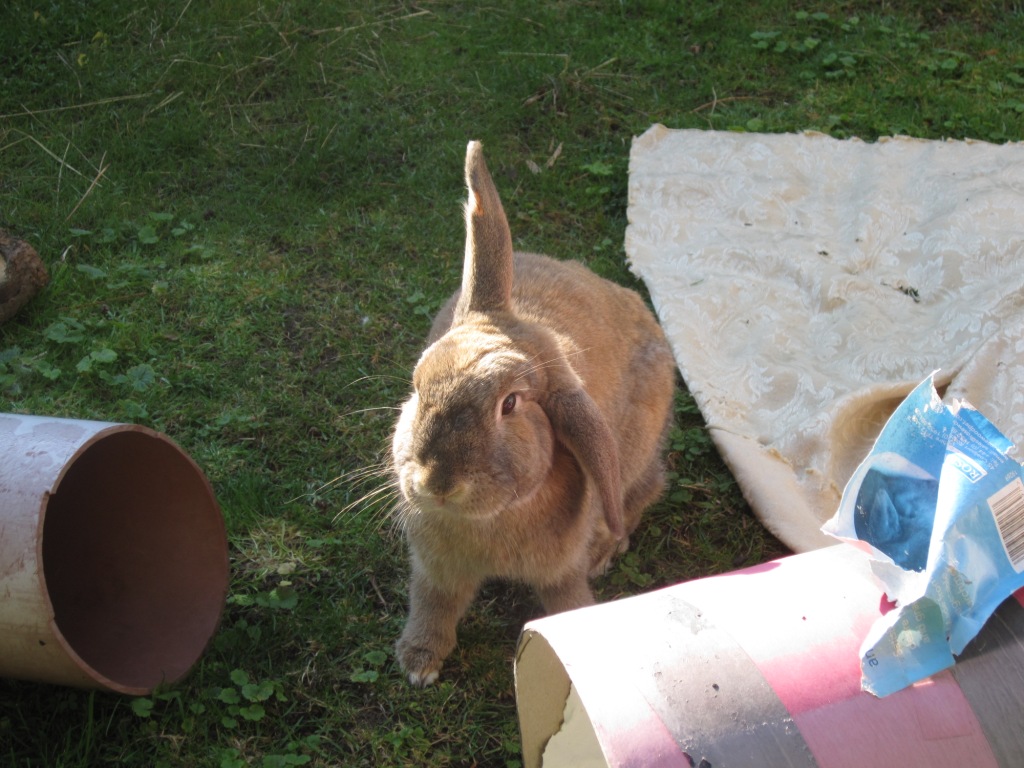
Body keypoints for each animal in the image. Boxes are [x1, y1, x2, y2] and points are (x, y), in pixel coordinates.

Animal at [392, 140, 676, 686]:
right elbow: (432, 602)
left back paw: (606, 549)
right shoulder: (434, 568)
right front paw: (418, 663)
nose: (437, 483)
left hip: (634, 453)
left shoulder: (559, 569)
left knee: (647, 486)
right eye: (417, 387)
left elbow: (567, 600)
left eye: (510, 405)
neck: (488, 520)